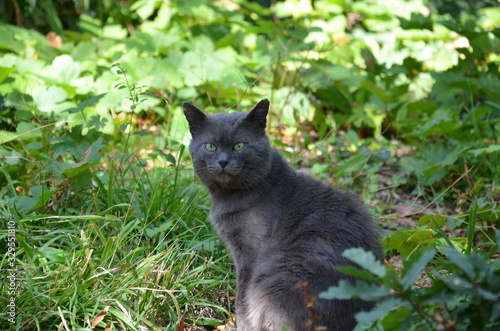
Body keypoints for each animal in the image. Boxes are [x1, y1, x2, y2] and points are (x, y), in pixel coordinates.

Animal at [184, 100, 382, 330]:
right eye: (210, 146)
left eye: (239, 146)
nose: (223, 161)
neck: (228, 197)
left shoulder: (249, 255)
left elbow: (242, 298)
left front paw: (241, 325)